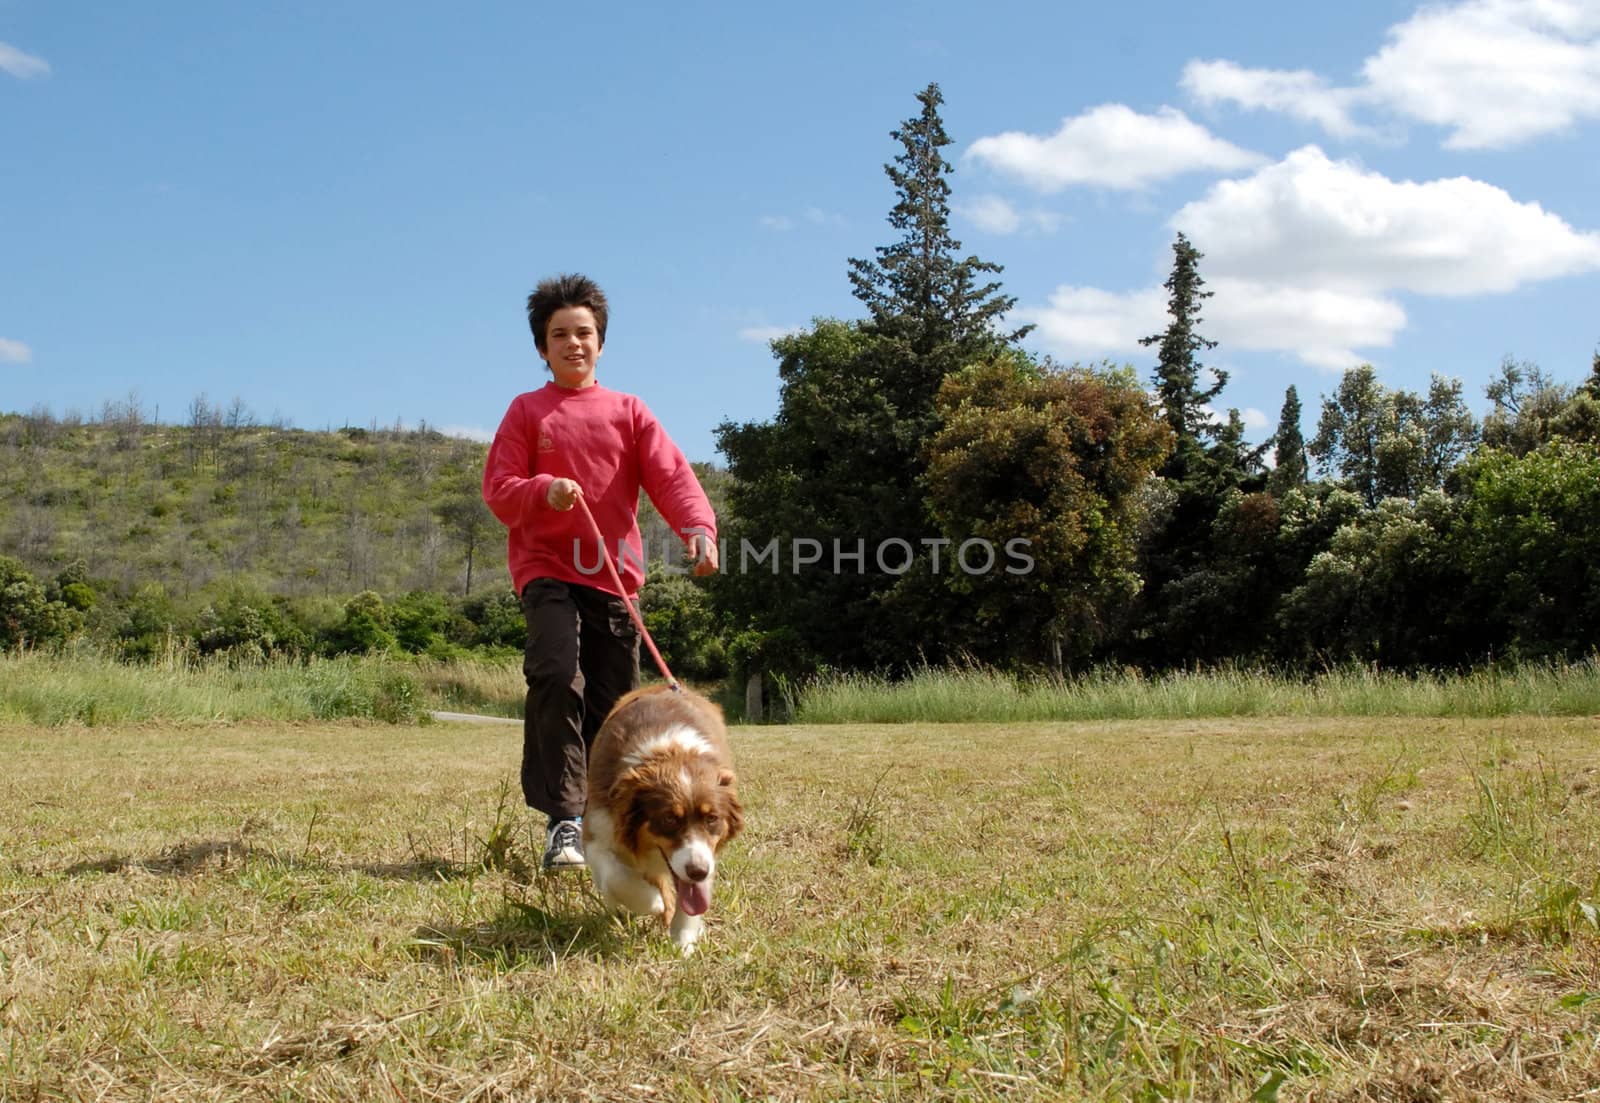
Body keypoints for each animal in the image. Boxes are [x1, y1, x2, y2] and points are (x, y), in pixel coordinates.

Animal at [582, 685, 742, 947]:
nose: (698, 871)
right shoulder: (598, 827)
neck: (671, 752)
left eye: (712, 818)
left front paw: (683, 940)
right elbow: (616, 875)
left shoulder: (707, 852)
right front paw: (653, 902)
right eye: (669, 819)